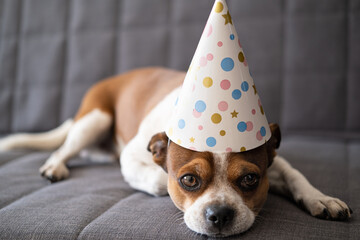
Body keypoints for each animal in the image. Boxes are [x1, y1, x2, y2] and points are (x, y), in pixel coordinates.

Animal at [0, 67, 352, 236]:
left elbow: (295, 175)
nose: (220, 214)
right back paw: (54, 166)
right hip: (94, 119)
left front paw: (320, 198)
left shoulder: (272, 160)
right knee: (64, 147)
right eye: (189, 180)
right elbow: (159, 181)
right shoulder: (133, 158)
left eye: (251, 179)